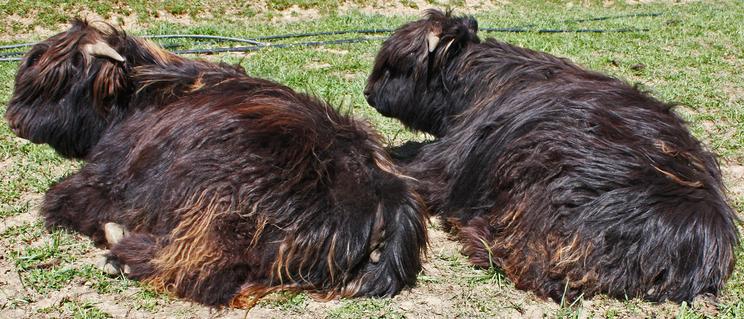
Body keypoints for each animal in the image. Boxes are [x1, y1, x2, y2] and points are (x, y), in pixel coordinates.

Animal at [5, 20, 428, 308]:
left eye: (59, 82)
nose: (14, 122)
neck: (139, 96)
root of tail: (388, 198)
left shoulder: (108, 178)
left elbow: (59, 198)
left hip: (214, 203)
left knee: (203, 271)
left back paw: (120, 254)